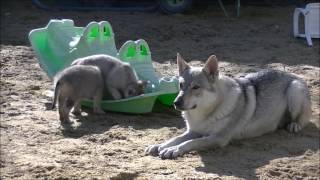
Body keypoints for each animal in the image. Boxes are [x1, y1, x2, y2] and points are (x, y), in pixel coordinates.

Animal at [146, 53, 312, 159]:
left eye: (196, 87)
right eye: (181, 85)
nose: (176, 102)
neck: (206, 113)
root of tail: (294, 75)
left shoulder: (218, 138)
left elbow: (190, 142)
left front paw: (173, 150)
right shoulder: (193, 131)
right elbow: (177, 138)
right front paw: (160, 145)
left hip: (294, 91)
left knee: (303, 120)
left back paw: (294, 125)